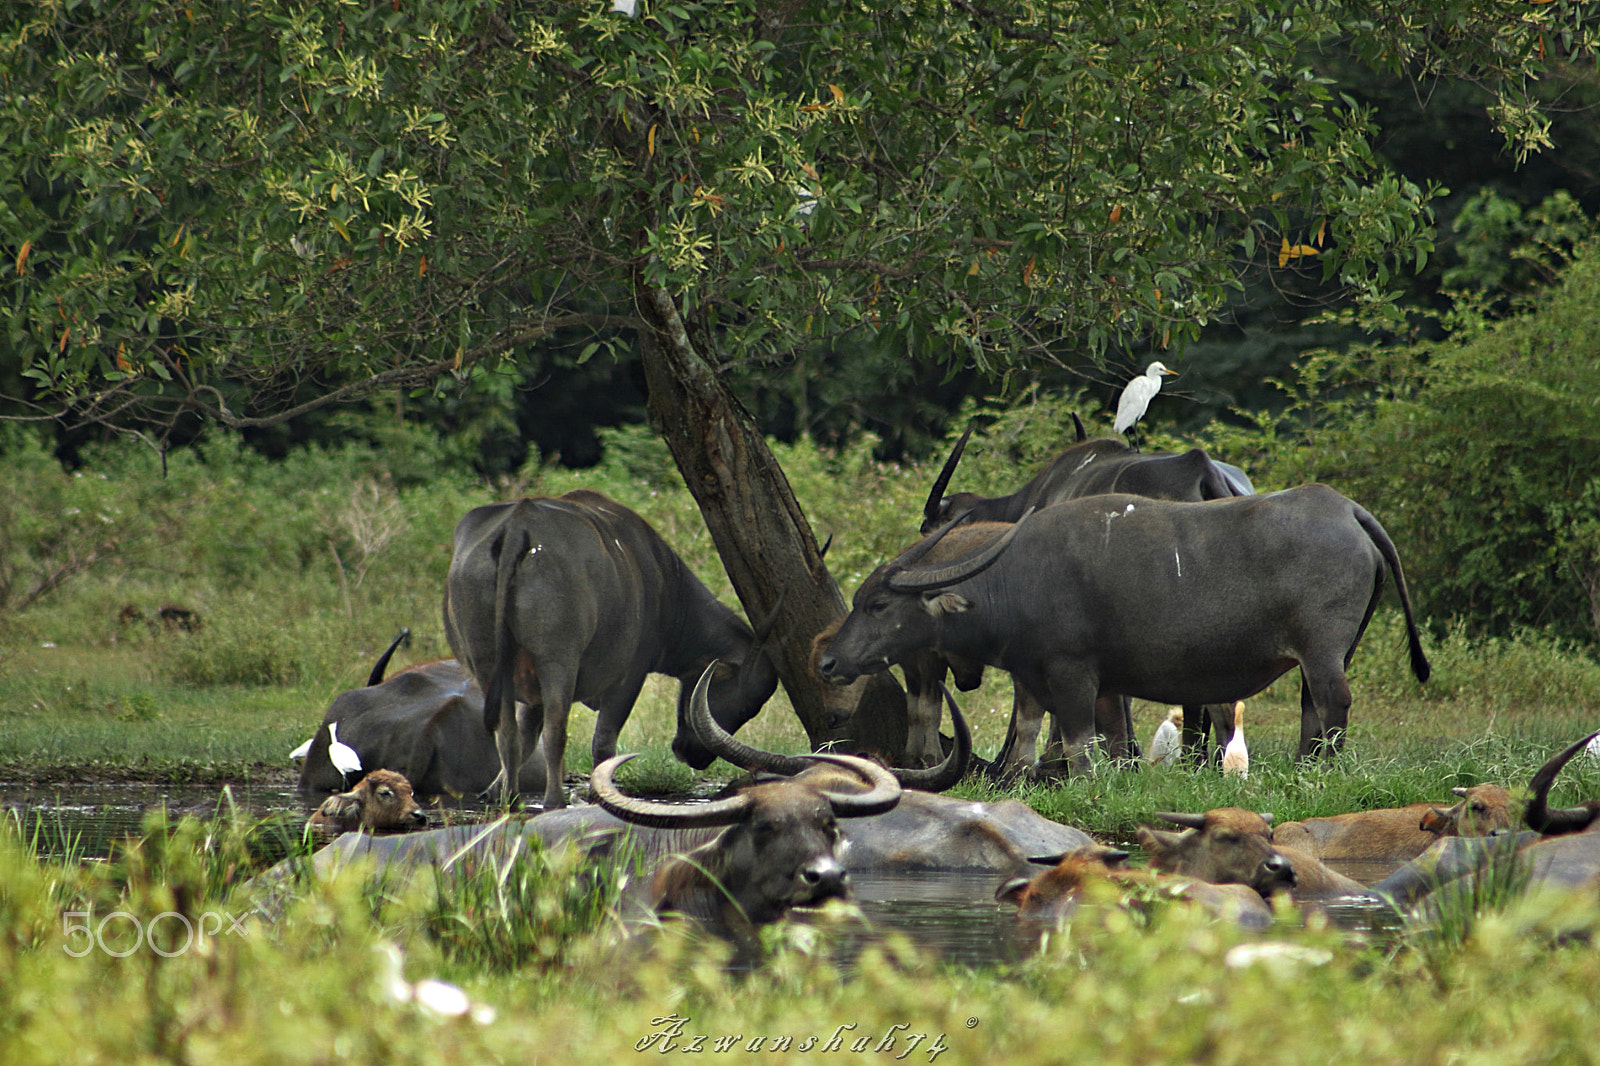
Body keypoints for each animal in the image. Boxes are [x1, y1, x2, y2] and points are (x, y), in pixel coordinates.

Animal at [443, 490, 779, 809]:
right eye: (747, 708)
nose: (697, 758)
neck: (667, 589)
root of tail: (517, 524)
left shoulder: (531, 686)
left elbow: (526, 737)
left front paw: (495, 790)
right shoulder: (630, 677)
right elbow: (603, 742)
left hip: (486, 660)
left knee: (507, 733)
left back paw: (512, 799)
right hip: (557, 660)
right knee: (556, 731)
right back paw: (554, 800)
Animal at [819, 485, 1430, 778]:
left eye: (877, 604)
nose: (828, 661)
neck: (1018, 580)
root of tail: (1347, 510)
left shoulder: (1073, 674)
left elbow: (1077, 739)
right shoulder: (1048, 677)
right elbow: (1044, 733)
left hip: (1323, 650)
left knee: (1333, 703)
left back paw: (1326, 770)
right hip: (1324, 653)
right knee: (1311, 710)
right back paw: (1304, 767)